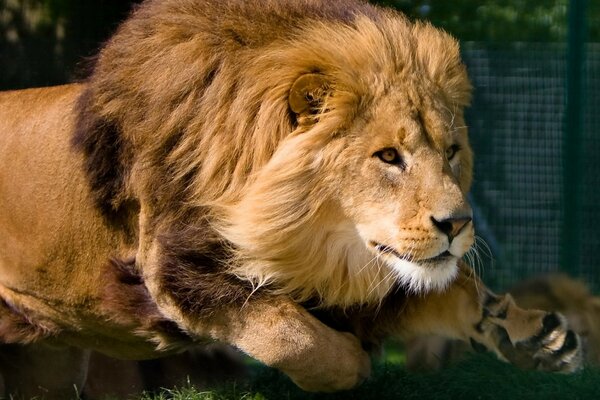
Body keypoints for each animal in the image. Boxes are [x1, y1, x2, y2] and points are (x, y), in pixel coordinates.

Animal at [0, 0, 584, 396]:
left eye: (451, 151)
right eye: (388, 157)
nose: (458, 223)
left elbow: (456, 291)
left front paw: (533, 336)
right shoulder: (172, 268)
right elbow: (289, 332)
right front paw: (351, 359)